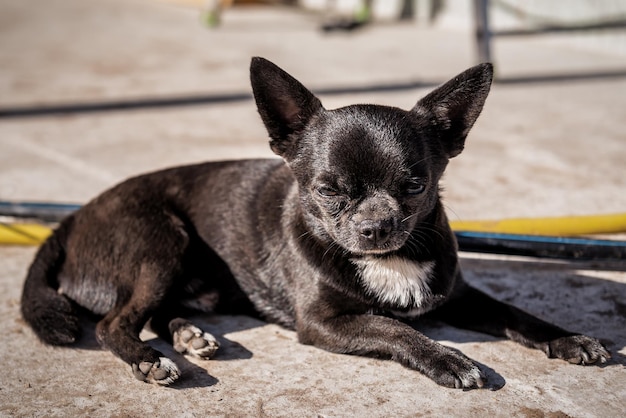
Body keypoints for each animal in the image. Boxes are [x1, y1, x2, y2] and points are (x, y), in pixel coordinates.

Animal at [22, 58, 608, 388]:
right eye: (327, 191)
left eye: (415, 187)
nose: (376, 226)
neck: (387, 260)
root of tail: (71, 217)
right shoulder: (324, 322)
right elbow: (394, 327)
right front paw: (446, 358)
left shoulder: (457, 294)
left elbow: (518, 314)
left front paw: (570, 339)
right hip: (162, 242)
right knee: (114, 322)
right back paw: (151, 360)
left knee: (154, 311)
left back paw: (188, 335)